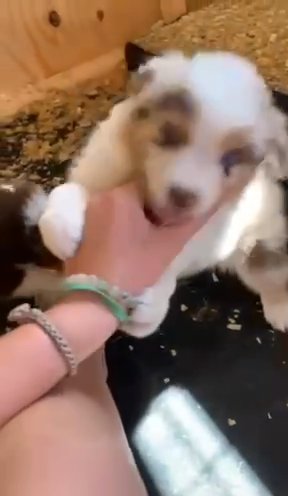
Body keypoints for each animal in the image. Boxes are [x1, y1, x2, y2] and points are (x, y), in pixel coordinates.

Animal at [38, 46, 288, 338]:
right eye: (169, 136)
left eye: (230, 160)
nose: (183, 196)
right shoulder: (98, 168)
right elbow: (68, 189)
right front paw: (63, 231)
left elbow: (171, 262)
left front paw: (149, 305)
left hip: (259, 241)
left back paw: (280, 309)